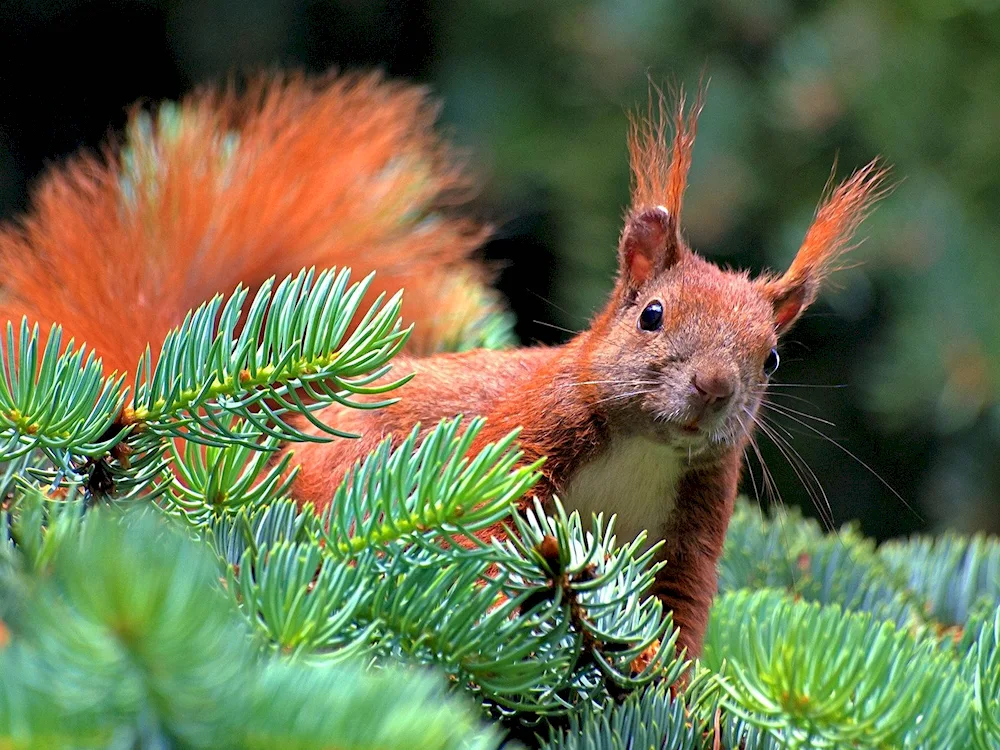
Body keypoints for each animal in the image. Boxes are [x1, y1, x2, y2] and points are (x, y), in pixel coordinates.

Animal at [1, 72, 892, 656]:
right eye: (652, 315)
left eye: (770, 357)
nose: (715, 387)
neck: (644, 449)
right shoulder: (517, 437)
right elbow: (477, 521)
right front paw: (494, 605)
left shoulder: (692, 536)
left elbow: (674, 628)